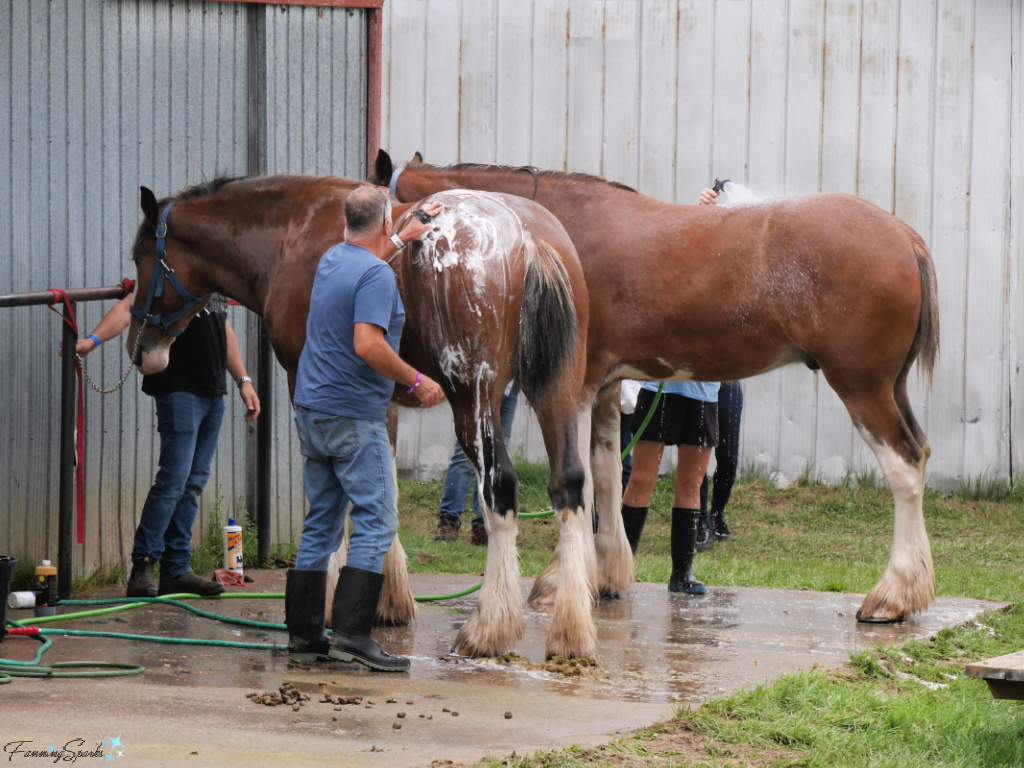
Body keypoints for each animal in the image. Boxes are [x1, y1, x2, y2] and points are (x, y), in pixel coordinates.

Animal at [124, 176, 598, 659]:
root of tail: (529, 235)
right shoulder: (376, 397)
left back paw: (488, 629)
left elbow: (333, 496)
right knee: (572, 485)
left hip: (474, 397)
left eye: (140, 258)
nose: (141, 349)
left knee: (499, 489)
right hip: (558, 394)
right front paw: (389, 600)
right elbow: (382, 486)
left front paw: (329, 601)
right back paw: (571, 633)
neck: (295, 233)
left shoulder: (307, 384)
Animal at [374, 150, 940, 625]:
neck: (537, 233)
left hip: (862, 386)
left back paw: (891, 595)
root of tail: (903, 234)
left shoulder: (573, 386)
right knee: (918, 451)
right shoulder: (604, 387)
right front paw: (605, 574)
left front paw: (560, 581)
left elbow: (578, 478)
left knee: (903, 466)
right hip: (889, 386)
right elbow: (605, 474)